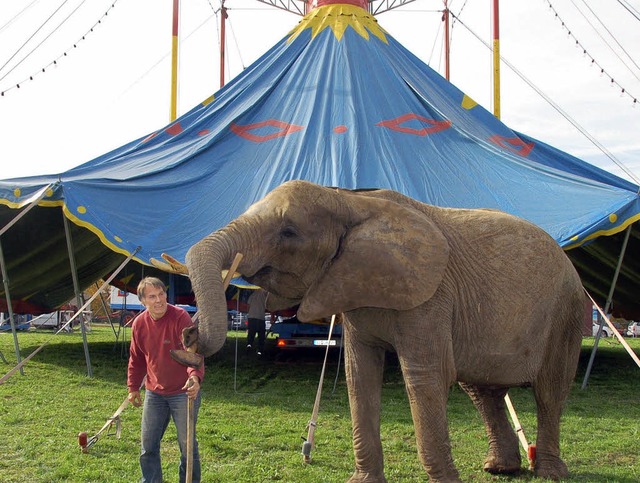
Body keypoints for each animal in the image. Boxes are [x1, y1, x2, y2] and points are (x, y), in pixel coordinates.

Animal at [174, 181, 584, 483]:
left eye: (288, 232)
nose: (189, 335)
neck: (350, 202)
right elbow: (359, 374)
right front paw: (363, 481)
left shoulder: (430, 295)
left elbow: (426, 377)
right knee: (484, 392)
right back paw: (499, 469)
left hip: (567, 312)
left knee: (550, 391)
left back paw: (549, 473)